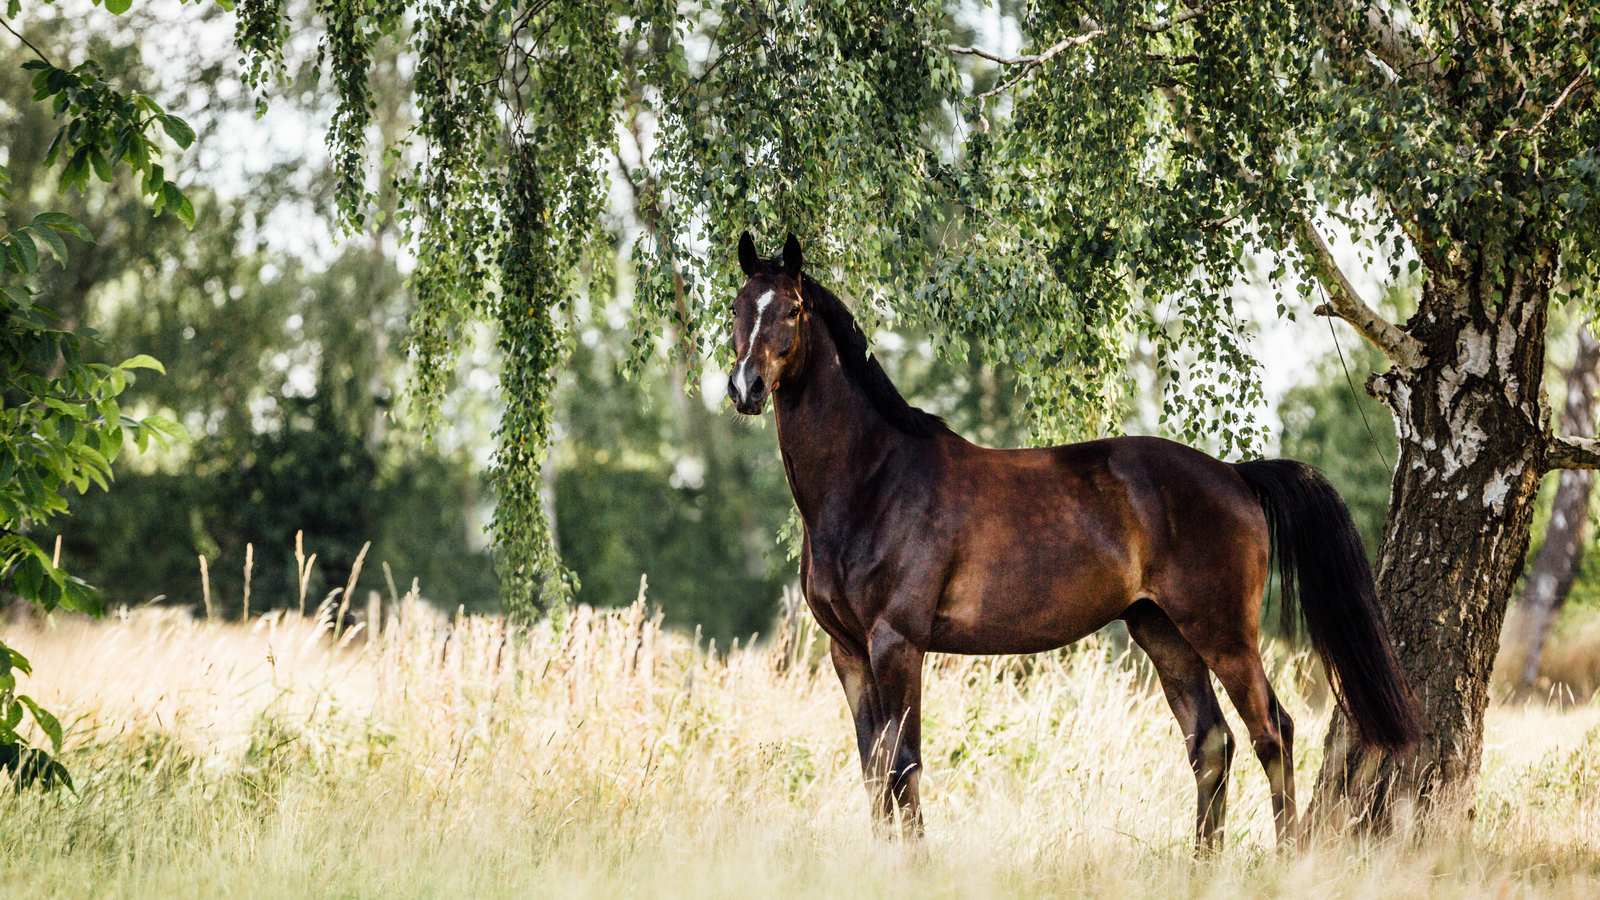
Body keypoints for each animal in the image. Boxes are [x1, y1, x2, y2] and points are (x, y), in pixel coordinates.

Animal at [724, 232, 1421, 850]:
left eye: (791, 310)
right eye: (737, 307)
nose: (745, 389)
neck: (875, 479)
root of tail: (1235, 474)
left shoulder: (898, 644)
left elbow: (905, 766)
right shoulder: (847, 650)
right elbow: (874, 771)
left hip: (1222, 633)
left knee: (1271, 731)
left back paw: (1285, 856)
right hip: (1162, 632)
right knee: (1211, 743)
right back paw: (1202, 864)